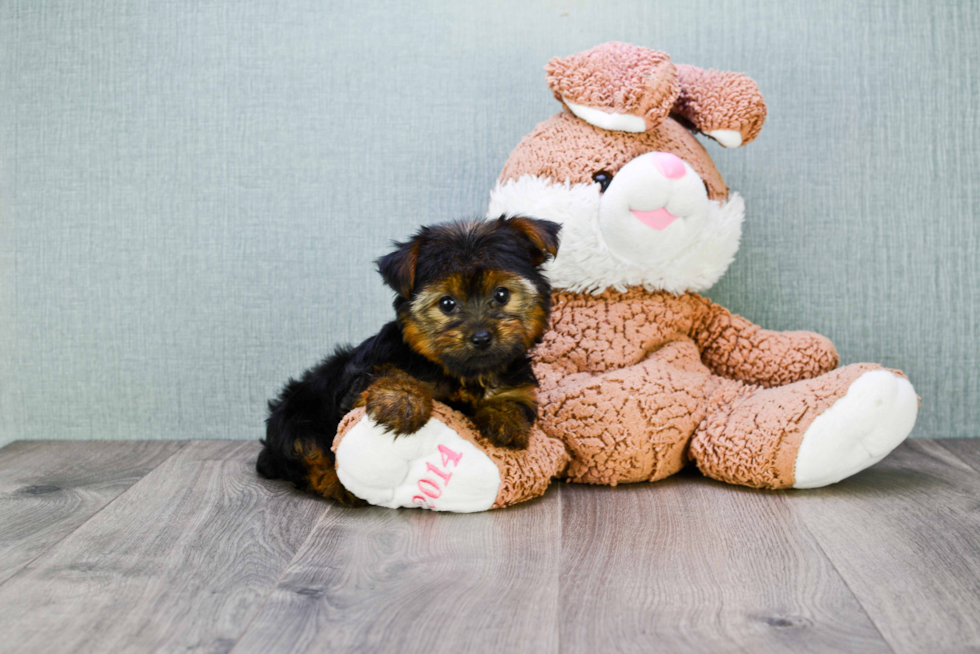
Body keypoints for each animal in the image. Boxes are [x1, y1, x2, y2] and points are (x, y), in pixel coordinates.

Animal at [258, 215, 560, 508]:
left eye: (502, 294)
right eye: (447, 303)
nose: (481, 337)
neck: (464, 373)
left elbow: (513, 400)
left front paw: (505, 419)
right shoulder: (364, 378)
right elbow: (388, 374)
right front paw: (403, 402)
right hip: (297, 417)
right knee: (307, 453)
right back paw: (338, 485)